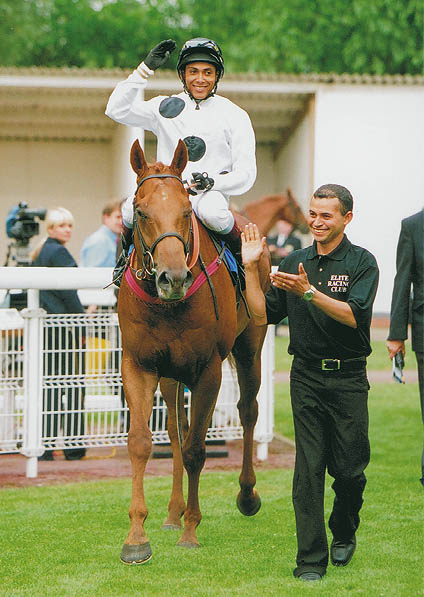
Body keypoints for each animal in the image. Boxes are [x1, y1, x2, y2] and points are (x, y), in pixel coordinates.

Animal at [117, 137, 268, 560]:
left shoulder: (207, 369)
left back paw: (246, 495)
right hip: (171, 375)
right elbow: (142, 443)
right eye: (140, 211)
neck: (165, 305)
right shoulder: (139, 365)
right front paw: (137, 536)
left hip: (249, 348)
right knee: (175, 431)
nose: (174, 278)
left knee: (247, 411)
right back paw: (173, 512)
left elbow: (198, 450)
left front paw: (190, 532)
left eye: (186, 211)